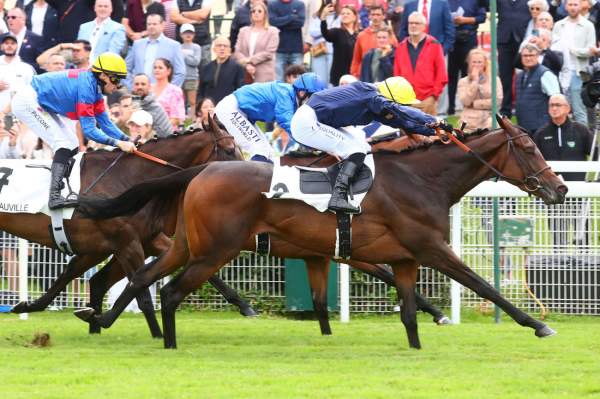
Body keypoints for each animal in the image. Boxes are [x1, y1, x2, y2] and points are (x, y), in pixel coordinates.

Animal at [78, 115, 568, 350]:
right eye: (528, 147)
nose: (560, 188)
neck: (421, 178)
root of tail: (203, 170)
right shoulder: (430, 248)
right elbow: (484, 285)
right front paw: (538, 325)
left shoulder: (402, 257)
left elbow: (409, 311)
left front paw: (416, 345)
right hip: (215, 250)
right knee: (170, 291)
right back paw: (167, 340)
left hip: (186, 244)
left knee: (144, 278)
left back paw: (101, 318)